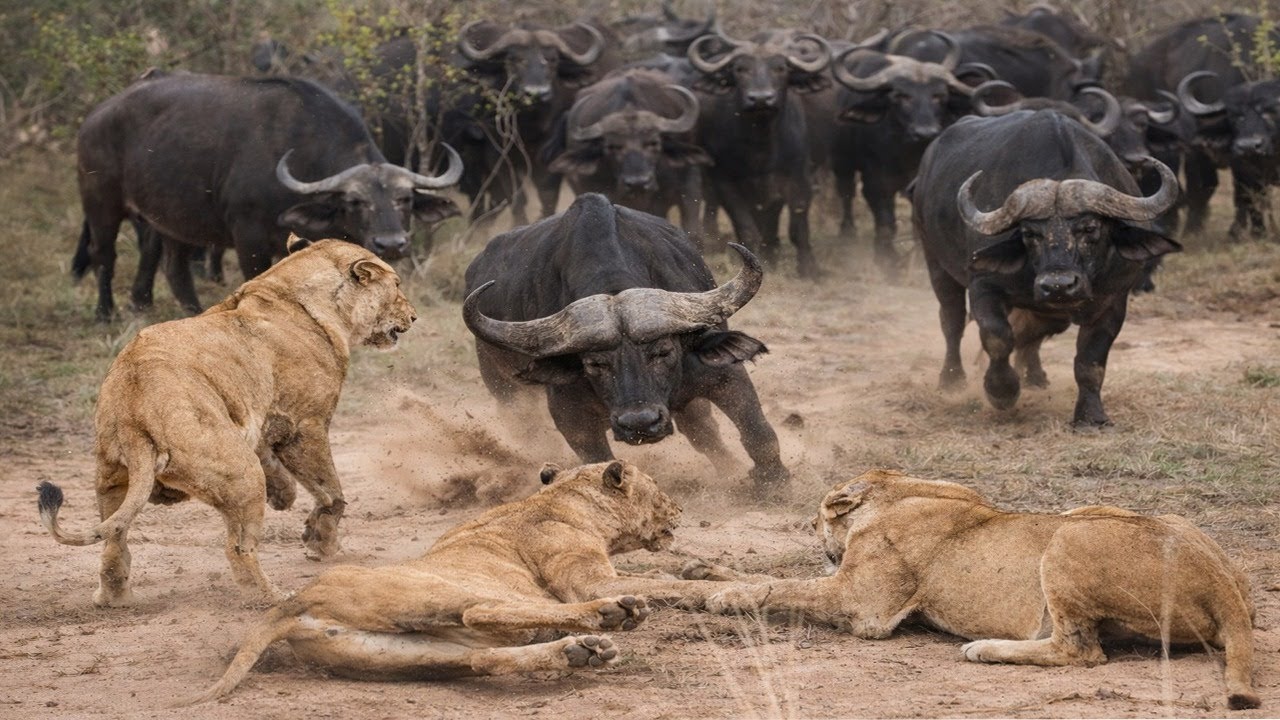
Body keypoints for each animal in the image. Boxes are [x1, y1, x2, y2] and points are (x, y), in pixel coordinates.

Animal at [37, 238, 416, 607]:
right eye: (397, 284)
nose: (413, 316)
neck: (290, 290)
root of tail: (135, 411)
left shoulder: (261, 420)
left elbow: (282, 469)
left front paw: (285, 498)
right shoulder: (303, 424)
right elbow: (331, 492)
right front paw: (321, 543)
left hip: (112, 478)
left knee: (113, 544)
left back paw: (115, 598)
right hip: (241, 473)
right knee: (239, 548)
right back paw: (273, 597)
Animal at [185, 460, 734, 704]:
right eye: (658, 488)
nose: (679, 508)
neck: (561, 496)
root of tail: (295, 601)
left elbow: (671, 572)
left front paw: (709, 570)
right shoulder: (587, 579)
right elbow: (661, 583)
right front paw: (724, 588)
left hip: (405, 655)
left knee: (482, 658)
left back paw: (580, 652)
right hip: (446, 594)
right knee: (484, 611)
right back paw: (613, 617)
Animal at [697, 469, 1261, 711]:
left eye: (815, 521)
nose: (812, 531)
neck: (901, 488)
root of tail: (1224, 582)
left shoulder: (863, 607)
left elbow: (783, 584)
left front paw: (724, 598)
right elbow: (764, 576)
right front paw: (703, 571)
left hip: (1066, 537)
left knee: (1081, 651)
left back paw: (983, 649)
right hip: (1090, 513)